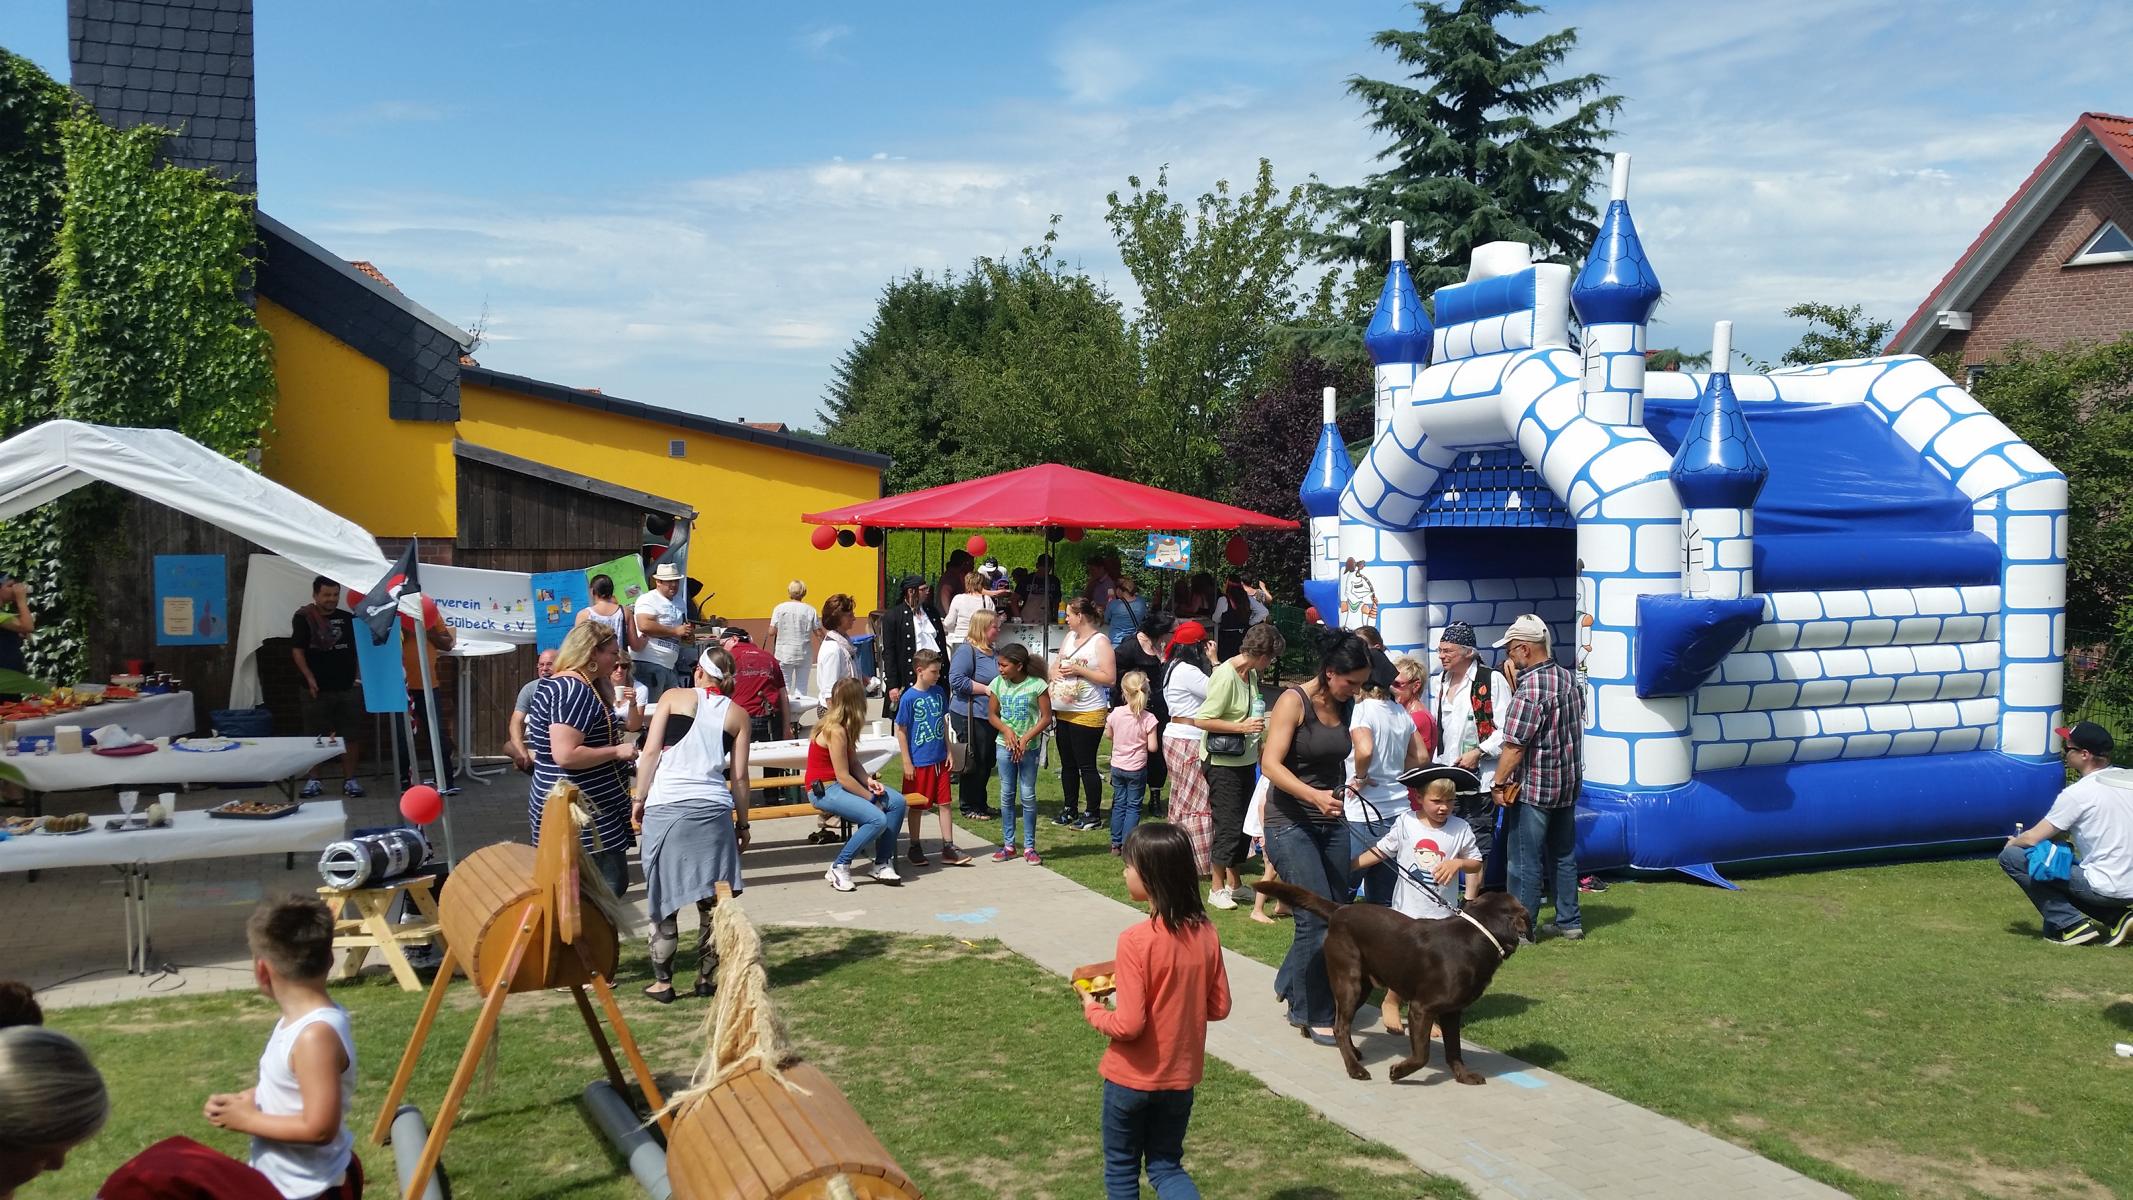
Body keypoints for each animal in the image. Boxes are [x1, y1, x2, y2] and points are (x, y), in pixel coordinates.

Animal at [1245, 882, 1535, 1091]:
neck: (1478, 937)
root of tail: (1339, 910)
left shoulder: (1452, 1012)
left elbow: (1455, 1050)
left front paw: (1463, 1076)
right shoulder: (1421, 1008)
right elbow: (1422, 1054)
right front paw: (1399, 1071)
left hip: (1362, 986)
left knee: (1342, 1023)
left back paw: (1351, 1052)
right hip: (1349, 980)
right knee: (1340, 1026)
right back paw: (1354, 1069)